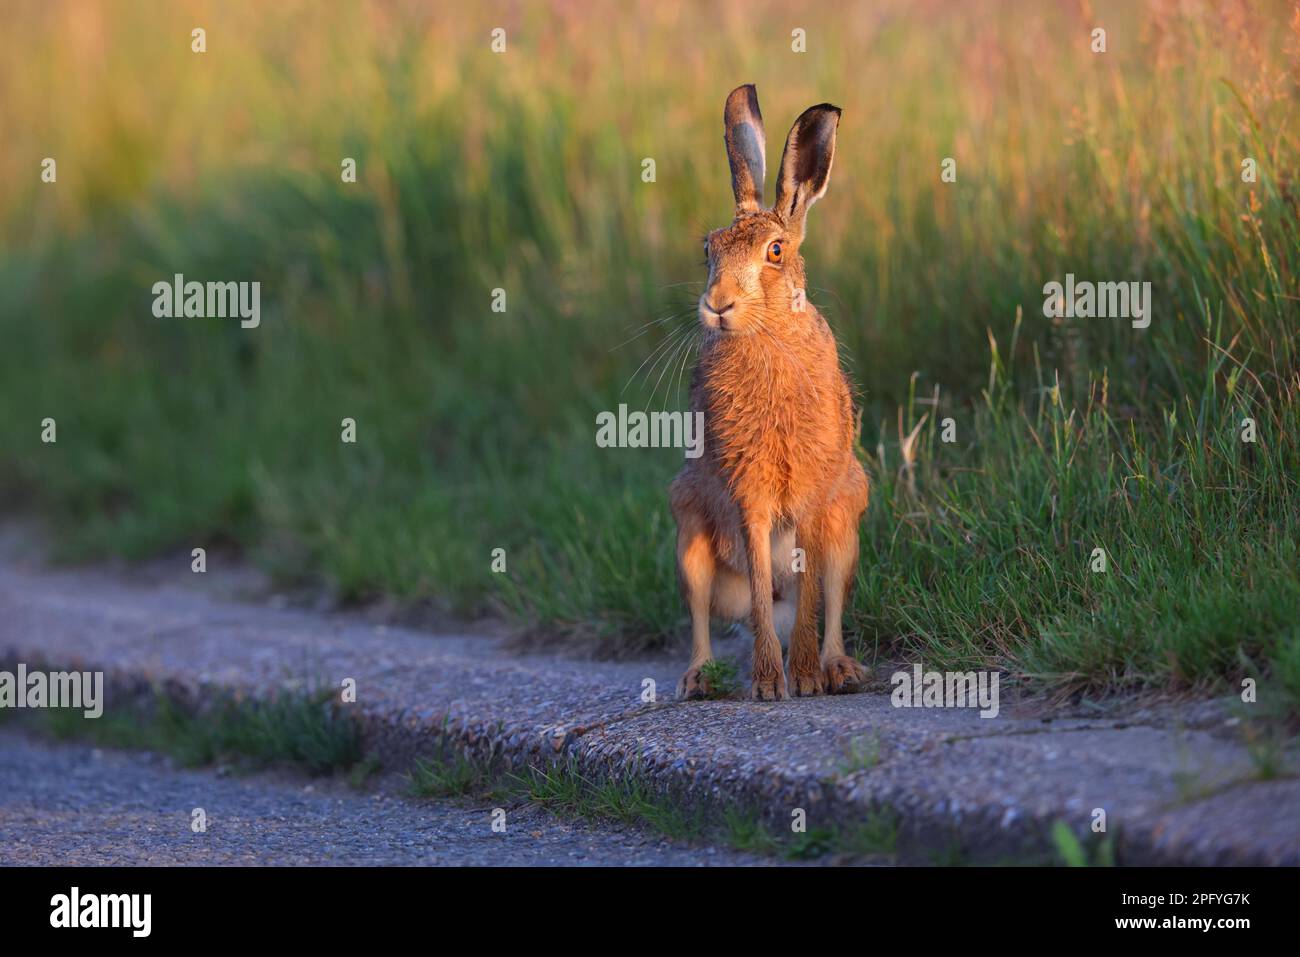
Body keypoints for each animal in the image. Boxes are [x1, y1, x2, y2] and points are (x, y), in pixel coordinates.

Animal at [671, 84, 869, 701]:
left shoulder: (812, 496)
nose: (718, 304)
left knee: (829, 599)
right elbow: (758, 586)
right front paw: (767, 685)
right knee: (704, 614)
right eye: (707, 250)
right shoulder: (748, 497)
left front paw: (802, 678)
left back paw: (838, 670)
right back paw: (698, 680)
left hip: (847, 521)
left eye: (775, 252)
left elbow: (811, 595)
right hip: (689, 529)